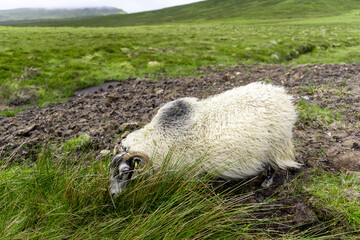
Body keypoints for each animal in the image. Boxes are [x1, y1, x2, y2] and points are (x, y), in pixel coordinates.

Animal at [109, 81, 300, 196]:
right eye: (111, 169)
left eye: (125, 171)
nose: (112, 194)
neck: (158, 138)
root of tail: (282, 94)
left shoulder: (189, 172)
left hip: (275, 144)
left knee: (272, 166)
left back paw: (266, 183)